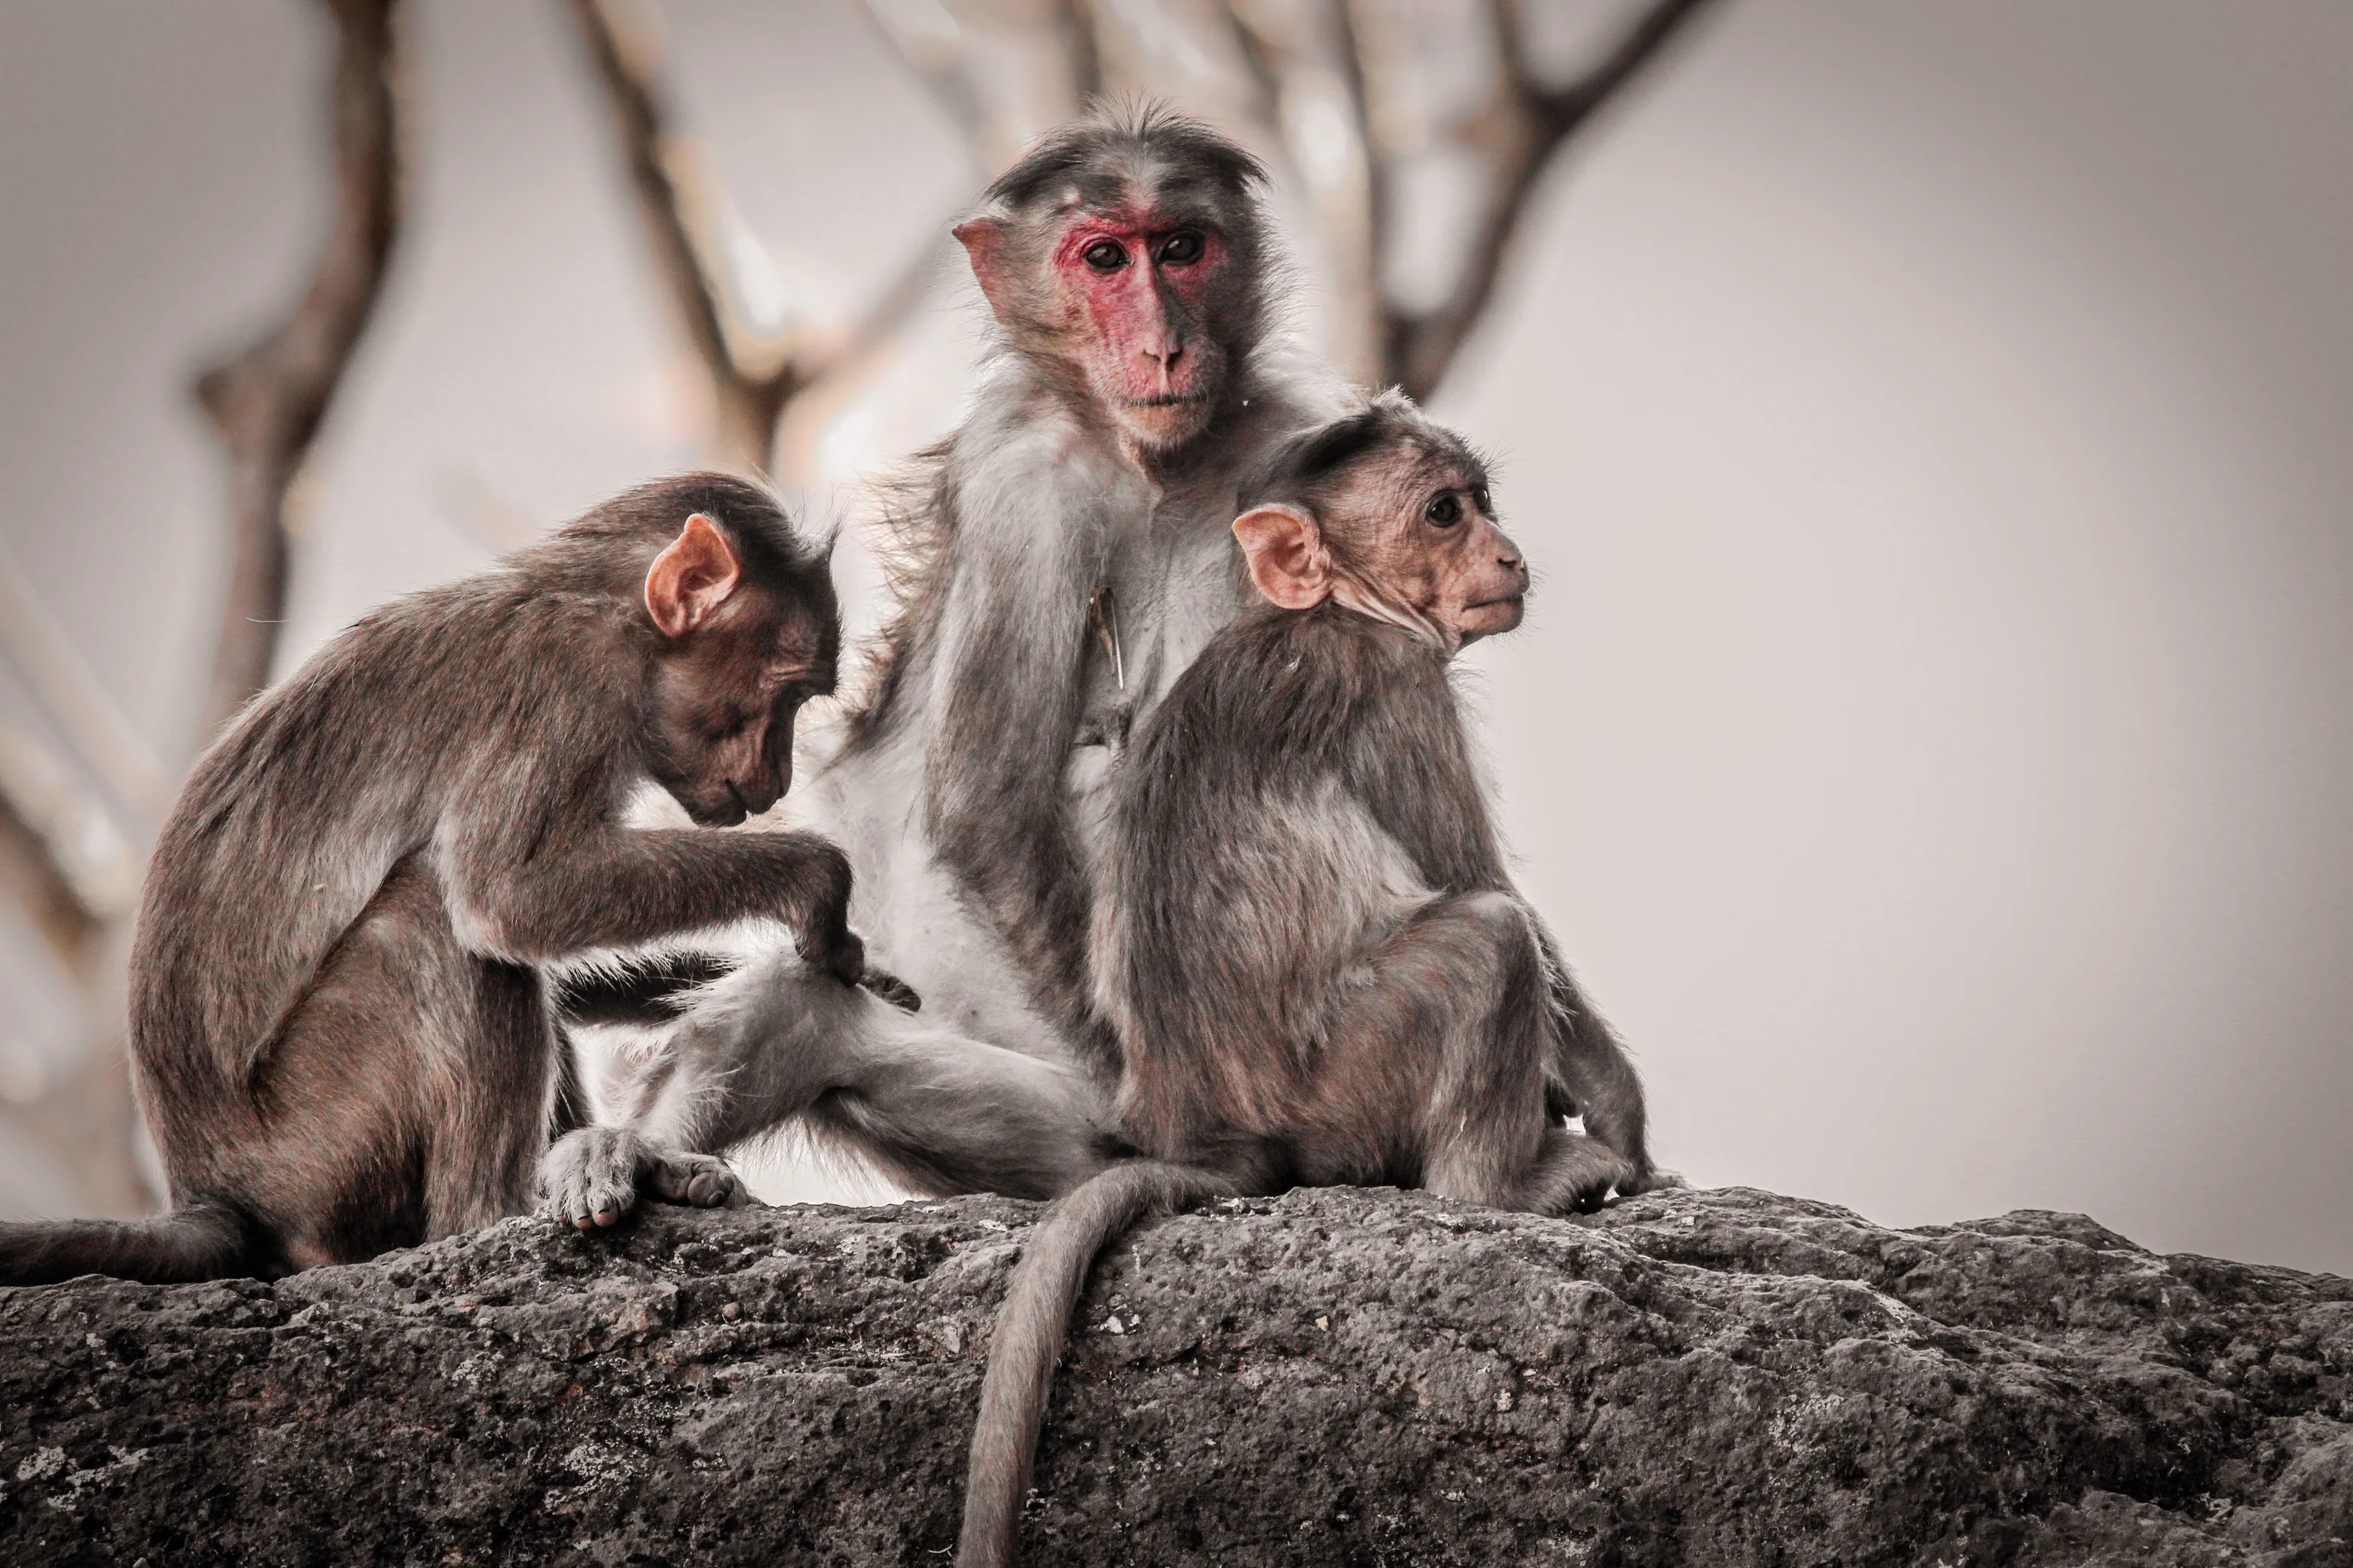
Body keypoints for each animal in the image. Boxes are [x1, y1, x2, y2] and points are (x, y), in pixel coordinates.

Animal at [0, 473, 888, 1286]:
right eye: (787, 695)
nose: (777, 777)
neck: (604, 612)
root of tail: (208, 1192)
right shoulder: (565, 688)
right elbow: (507, 902)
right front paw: (816, 882)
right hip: (311, 1150)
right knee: (429, 923)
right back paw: (495, 1215)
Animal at [953, 393, 1674, 1568]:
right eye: (1441, 512)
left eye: (1480, 499)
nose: (1506, 552)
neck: (1333, 607)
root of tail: (1213, 1135)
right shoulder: (1399, 688)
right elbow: (1486, 886)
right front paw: (1616, 1113)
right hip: (1344, 1085)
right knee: (1487, 943)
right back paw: (1506, 1187)